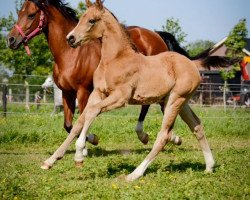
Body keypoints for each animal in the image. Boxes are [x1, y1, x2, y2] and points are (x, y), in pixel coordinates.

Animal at [41, 0, 217, 181]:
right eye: (81, 18)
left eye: (91, 20)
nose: (70, 38)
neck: (114, 60)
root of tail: (192, 64)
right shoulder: (97, 93)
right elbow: (80, 121)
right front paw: (50, 160)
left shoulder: (120, 98)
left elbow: (92, 112)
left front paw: (79, 155)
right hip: (181, 103)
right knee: (197, 126)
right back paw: (209, 166)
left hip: (175, 100)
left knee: (164, 135)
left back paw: (135, 174)